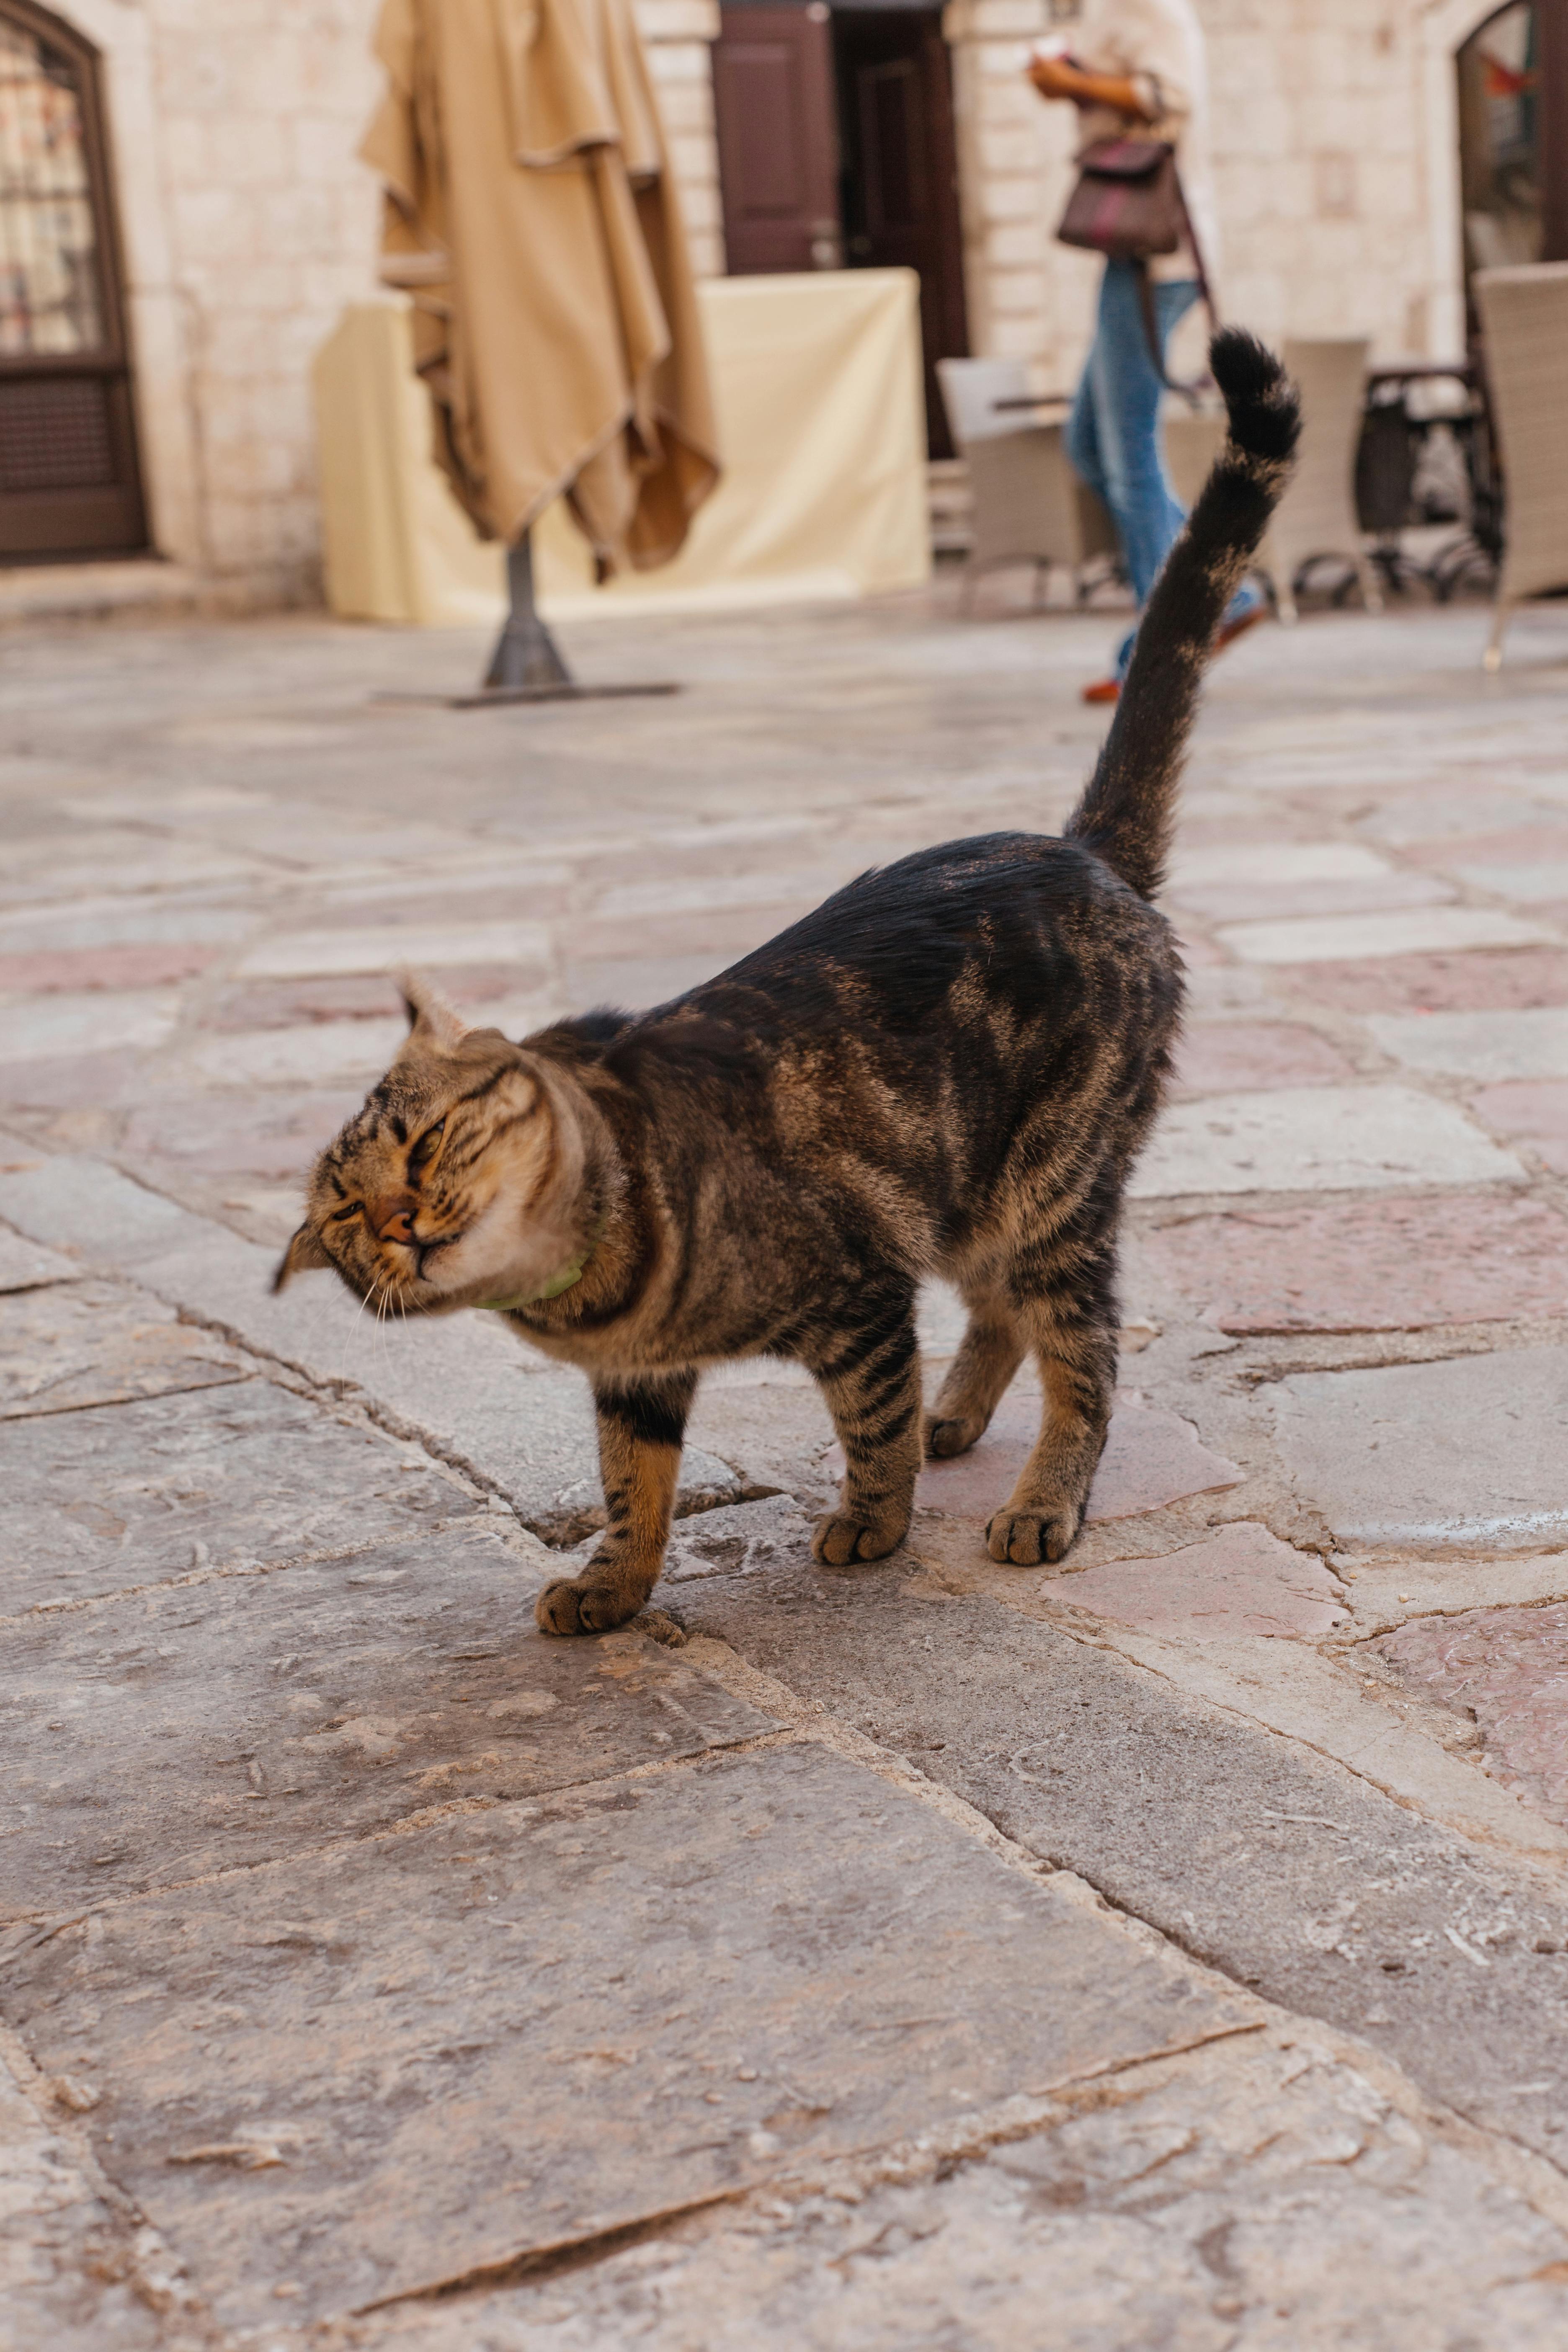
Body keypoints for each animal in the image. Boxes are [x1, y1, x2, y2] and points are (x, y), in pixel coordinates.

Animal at [273, 336, 1297, 1637]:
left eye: (423, 1145)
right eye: (351, 1222)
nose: (401, 1222)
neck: (587, 1291)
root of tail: (1084, 848)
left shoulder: (857, 1299)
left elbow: (867, 1425)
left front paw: (871, 1521)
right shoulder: (641, 1376)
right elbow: (631, 1485)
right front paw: (612, 1586)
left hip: (1051, 1185)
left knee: (1085, 1354)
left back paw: (1040, 1500)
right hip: (976, 1193)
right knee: (1001, 1311)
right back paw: (960, 1417)